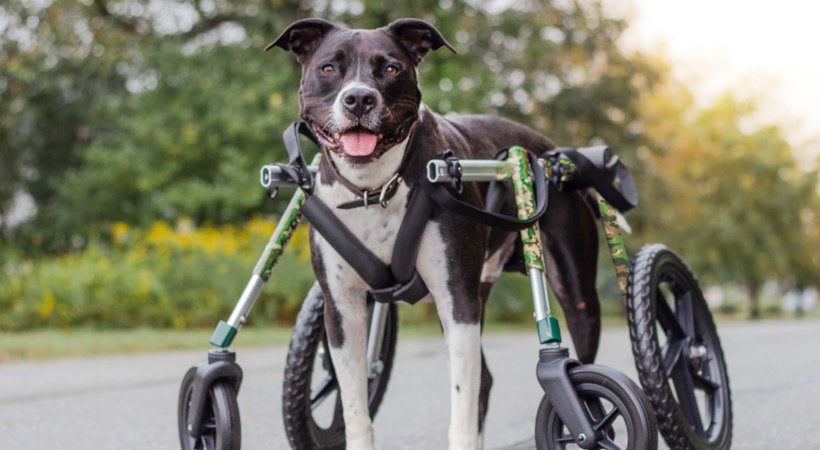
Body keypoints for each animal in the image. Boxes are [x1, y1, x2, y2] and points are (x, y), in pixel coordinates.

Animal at [272, 18, 600, 450]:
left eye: (390, 68)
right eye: (328, 68)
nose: (359, 98)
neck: (376, 187)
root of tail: (551, 151)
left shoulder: (456, 300)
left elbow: (461, 402)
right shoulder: (341, 308)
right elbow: (356, 404)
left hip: (574, 291)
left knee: (581, 367)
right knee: (484, 380)